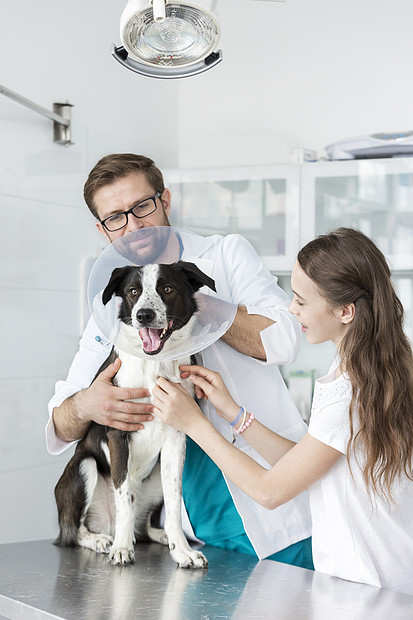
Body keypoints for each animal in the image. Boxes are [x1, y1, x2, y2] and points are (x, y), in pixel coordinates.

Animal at [54, 260, 214, 568]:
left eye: (167, 288)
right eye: (133, 291)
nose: (144, 315)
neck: (155, 364)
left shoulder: (176, 438)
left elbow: (174, 502)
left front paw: (182, 551)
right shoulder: (119, 433)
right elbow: (122, 497)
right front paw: (121, 548)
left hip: (156, 477)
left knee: (145, 524)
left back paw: (159, 535)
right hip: (83, 466)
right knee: (74, 530)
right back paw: (102, 539)